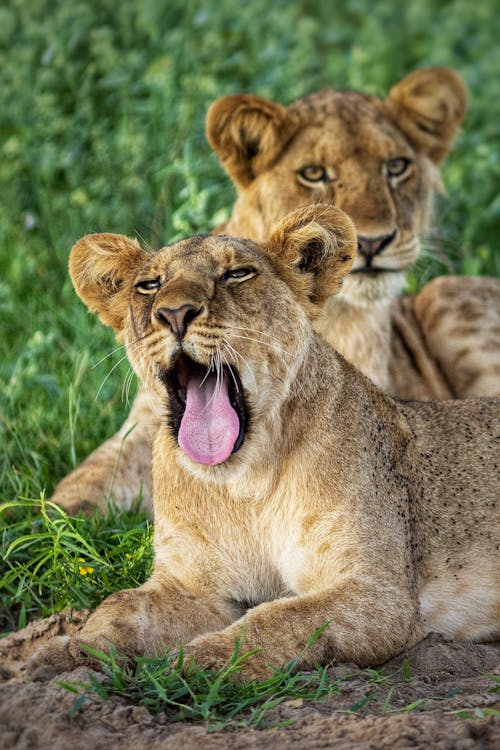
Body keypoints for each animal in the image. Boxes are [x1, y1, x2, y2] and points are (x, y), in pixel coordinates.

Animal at [28, 206, 500, 680]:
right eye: (150, 285)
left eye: (237, 273)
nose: (175, 313)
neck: (243, 485)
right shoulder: (193, 586)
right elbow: (121, 605)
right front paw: (68, 652)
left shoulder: (379, 594)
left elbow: (279, 618)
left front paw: (200, 661)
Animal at [50, 67, 500, 516]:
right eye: (314, 173)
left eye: (397, 166)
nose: (372, 242)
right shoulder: (146, 426)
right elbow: (88, 477)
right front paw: (49, 521)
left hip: (445, 294)